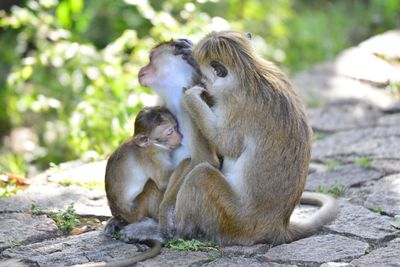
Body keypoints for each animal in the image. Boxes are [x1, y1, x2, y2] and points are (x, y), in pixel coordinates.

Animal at [172, 30, 338, 246]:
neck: (249, 71)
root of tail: (278, 226)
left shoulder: (236, 105)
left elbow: (227, 145)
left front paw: (191, 96)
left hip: (234, 219)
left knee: (201, 175)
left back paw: (179, 230)